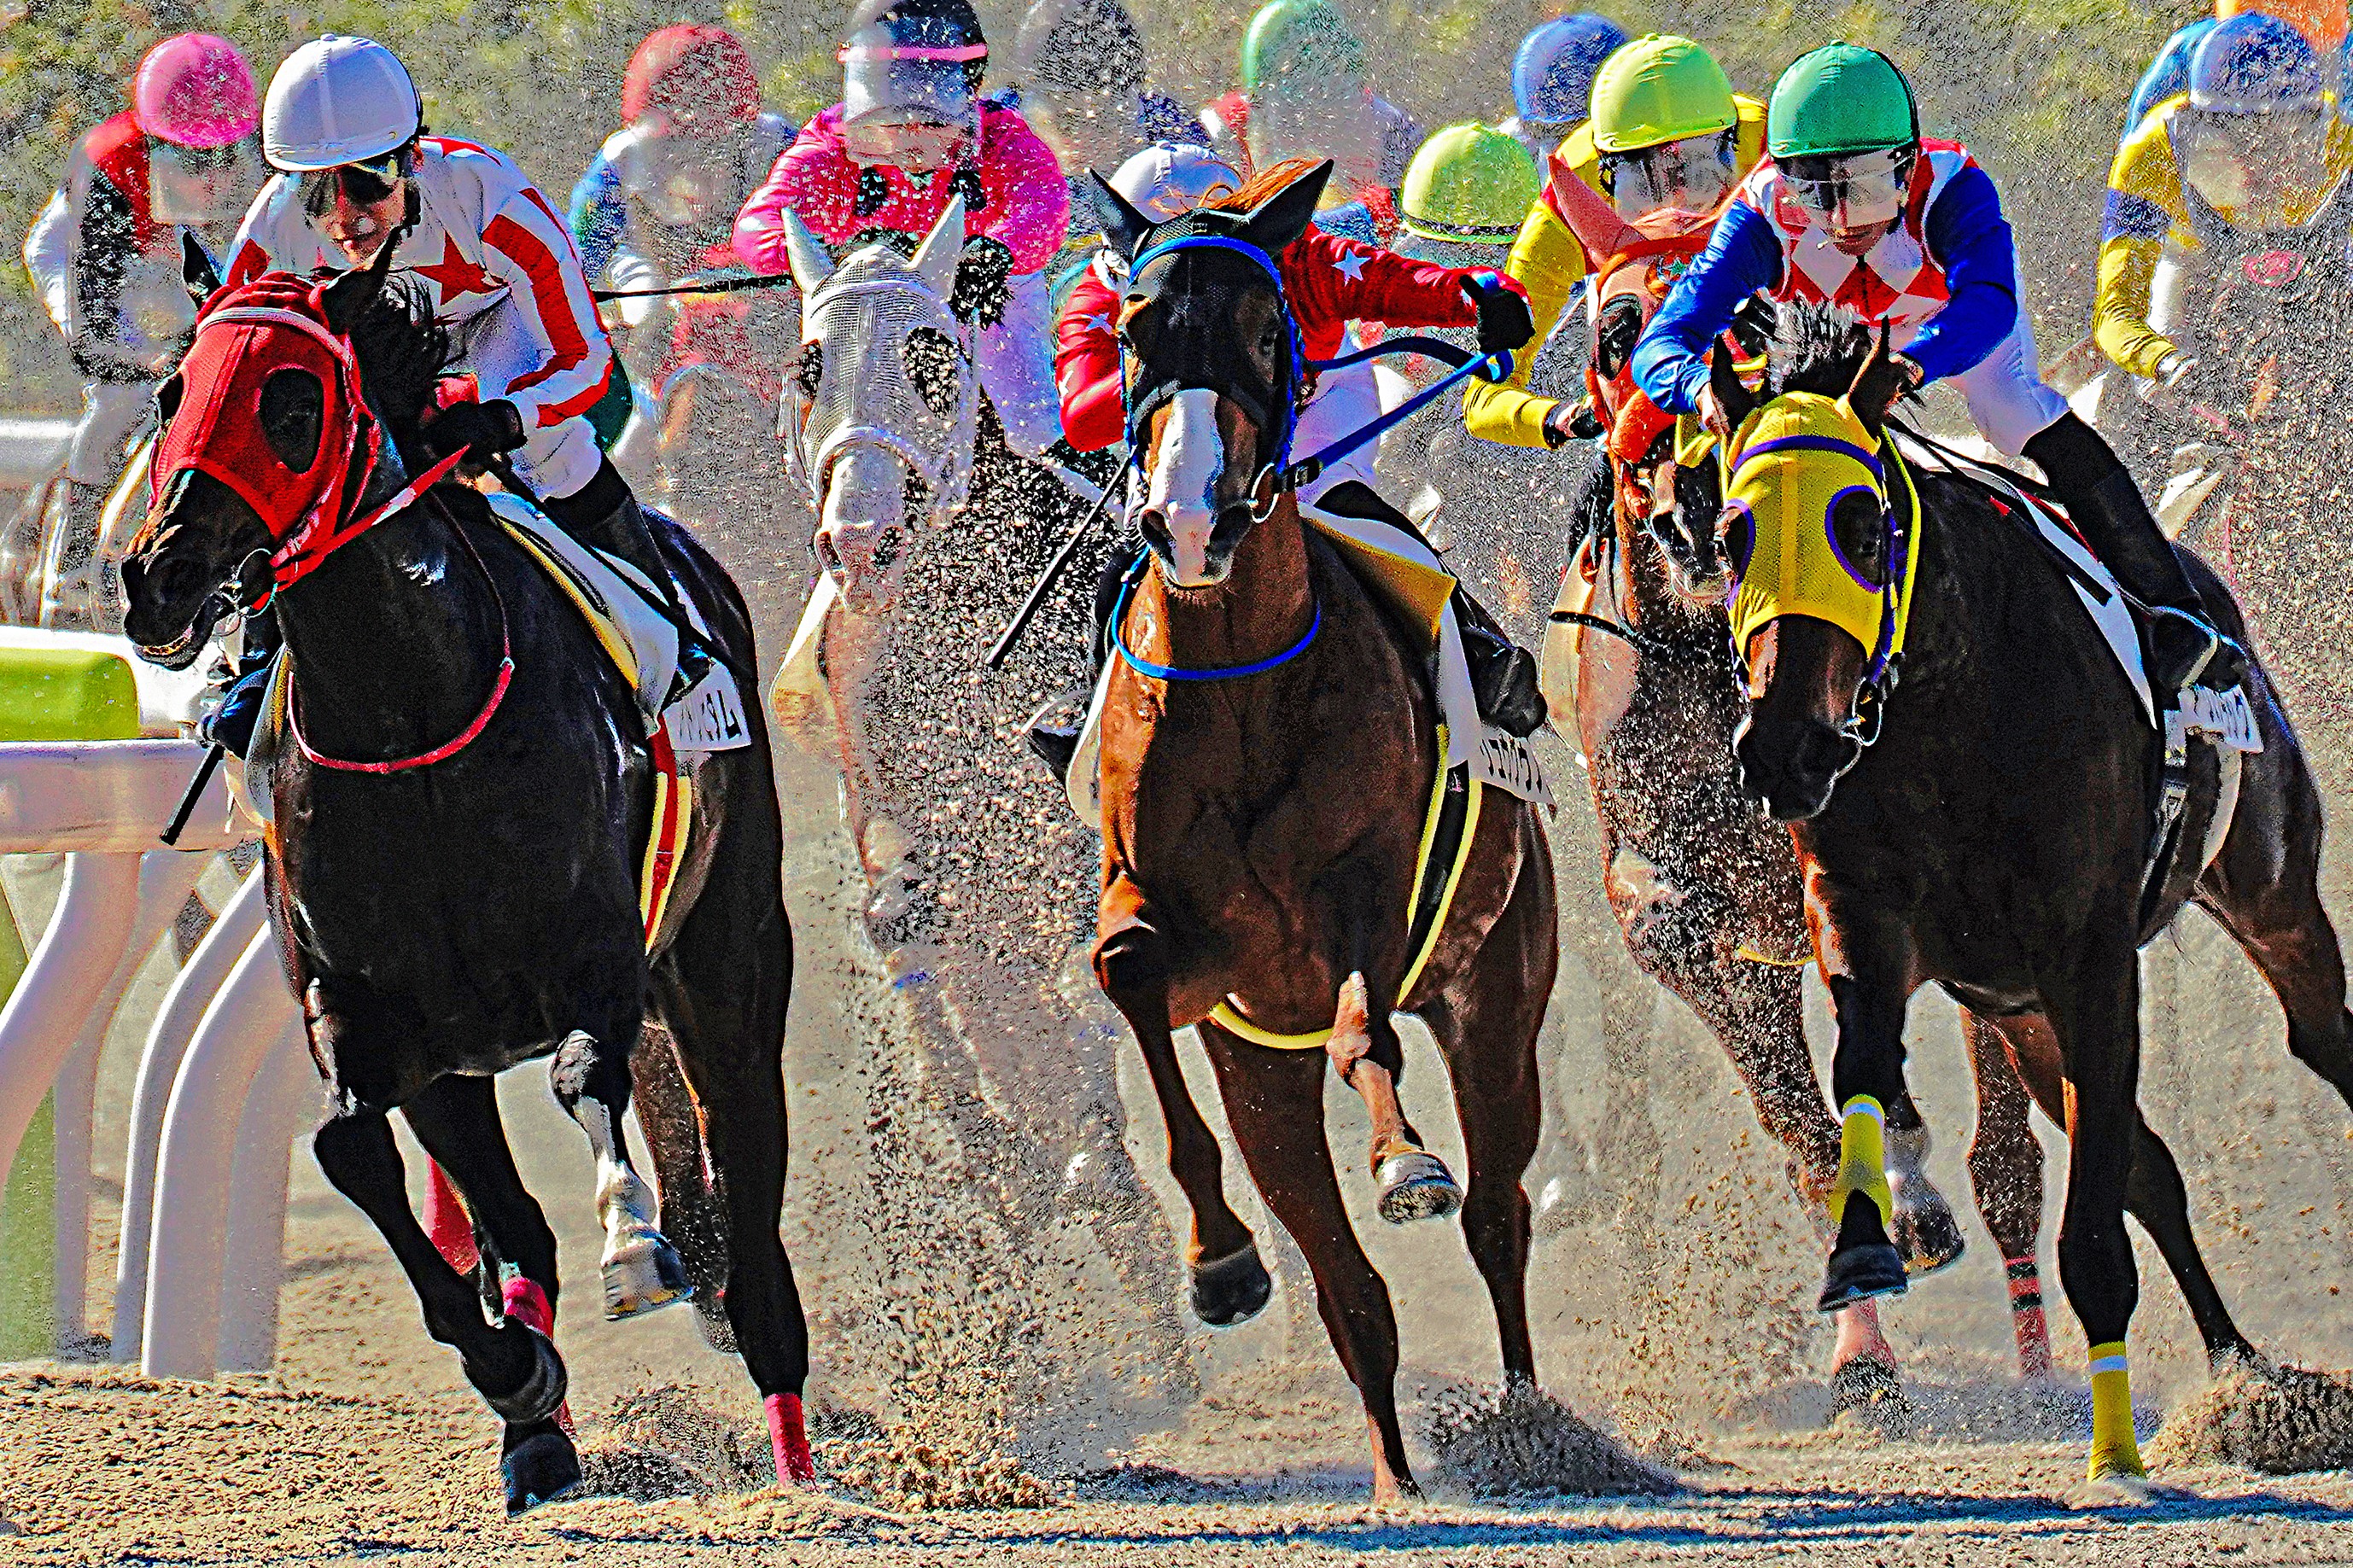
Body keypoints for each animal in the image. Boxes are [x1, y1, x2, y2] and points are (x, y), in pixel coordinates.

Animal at [118, 244, 811, 1514]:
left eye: (292, 399)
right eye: (171, 389)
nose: (160, 578)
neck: (411, 713)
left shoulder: (596, 968)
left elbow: (587, 1079)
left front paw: (634, 1245)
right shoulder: (373, 1019)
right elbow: (356, 1155)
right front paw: (517, 1375)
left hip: (725, 968)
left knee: (751, 1224)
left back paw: (794, 1460)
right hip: (465, 1057)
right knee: (515, 1225)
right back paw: (541, 1434)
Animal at [1086, 159, 1559, 1498]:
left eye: (1264, 330)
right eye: (1134, 332)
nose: (1189, 521)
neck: (1239, 679)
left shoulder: (1365, 895)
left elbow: (1366, 1027)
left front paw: (1404, 1158)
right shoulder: (1193, 953)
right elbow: (1125, 967)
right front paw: (1219, 1259)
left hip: (1500, 992)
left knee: (1498, 1216)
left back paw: (1529, 1427)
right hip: (1263, 1072)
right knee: (1350, 1290)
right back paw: (1396, 1471)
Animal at [1537, 185, 2051, 1400]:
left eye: (1760, 323)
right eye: (1616, 335)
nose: (1696, 489)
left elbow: (1977, 1134)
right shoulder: (1674, 903)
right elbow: (1804, 1133)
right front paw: (1866, 1335)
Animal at [1715, 301, 2353, 1482]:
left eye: (1859, 525)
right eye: (1731, 535)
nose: (1779, 747)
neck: (1947, 704)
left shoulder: (2088, 962)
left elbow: (2093, 1233)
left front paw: (2115, 1455)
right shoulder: (1871, 919)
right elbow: (1862, 1067)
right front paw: (1863, 1245)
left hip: (2272, 891)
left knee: (2322, 1039)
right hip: (2018, 1020)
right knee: (2149, 1168)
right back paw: (2244, 1376)